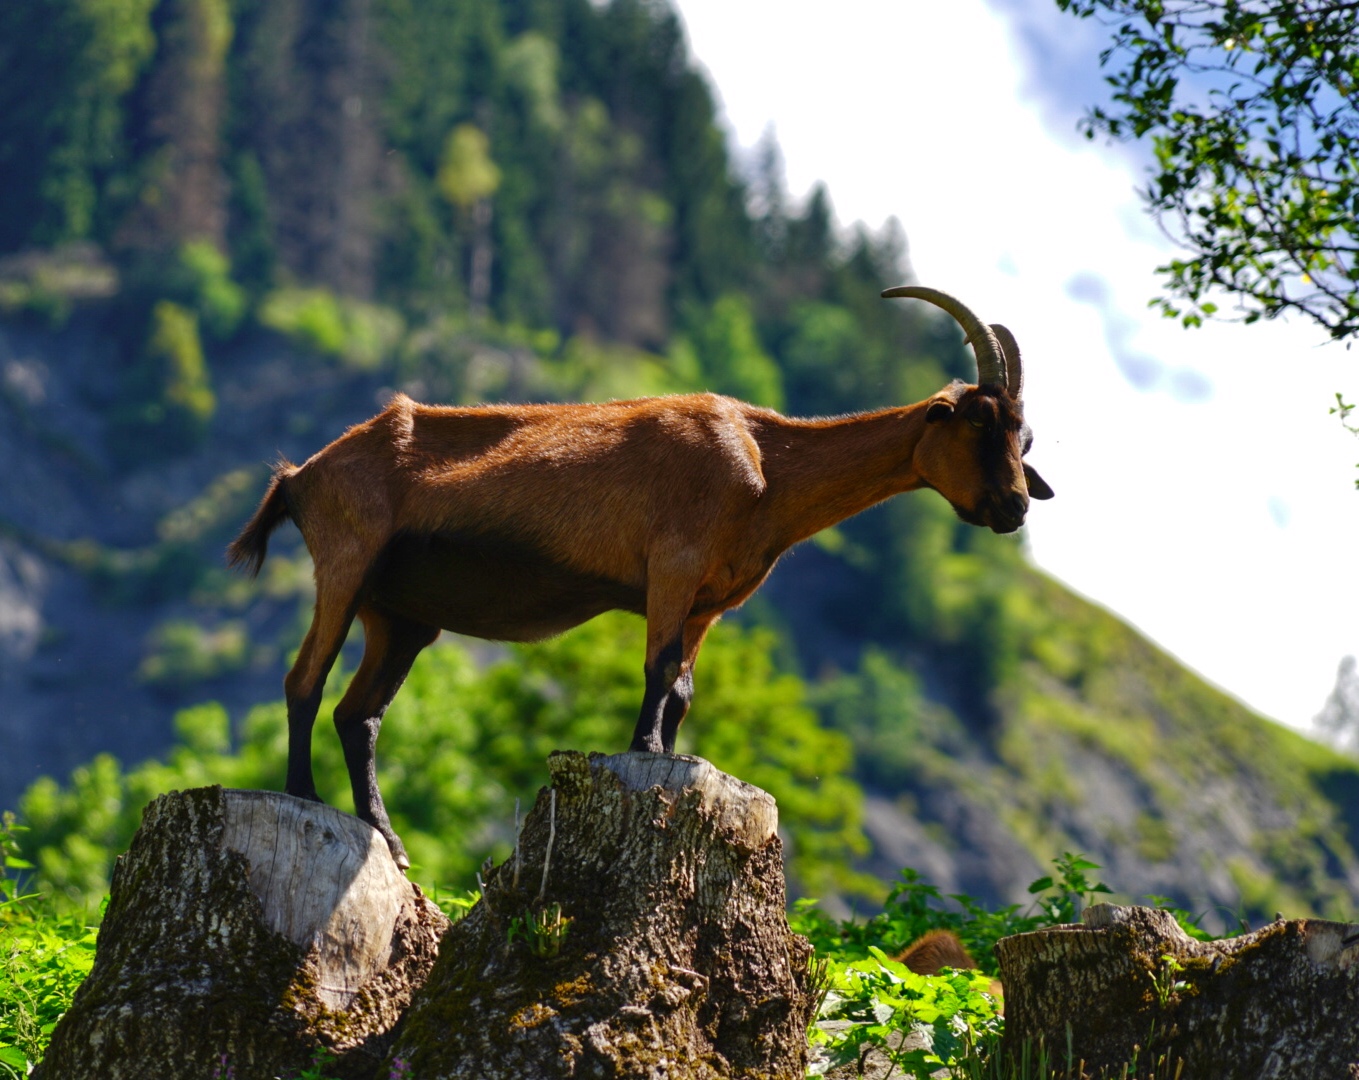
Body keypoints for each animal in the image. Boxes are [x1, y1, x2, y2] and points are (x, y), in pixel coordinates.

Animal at [228, 286, 1049, 869]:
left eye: (1026, 435)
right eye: (979, 421)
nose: (1012, 507)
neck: (765, 462)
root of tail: (301, 474)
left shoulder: (712, 602)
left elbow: (681, 687)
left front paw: (670, 753)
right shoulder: (672, 568)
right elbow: (658, 670)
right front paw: (645, 752)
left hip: (399, 616)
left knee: (358, 715)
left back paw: (389, 842)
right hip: (346, 563)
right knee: (305, 683)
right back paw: (302, 794)